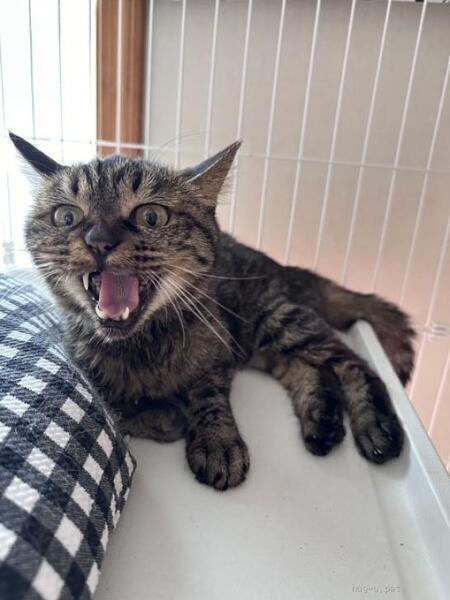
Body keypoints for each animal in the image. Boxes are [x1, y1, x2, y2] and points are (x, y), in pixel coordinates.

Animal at [10, 132, 415, 491]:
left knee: (350, 361)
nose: (99, 241)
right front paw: (162, 415)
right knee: (306, 368)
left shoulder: (219, 353)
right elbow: (113, 403)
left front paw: (217, 441)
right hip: (262, 342)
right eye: (66, 217)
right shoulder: (83, 359)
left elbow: (208, 394)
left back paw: (375, 424)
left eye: (151, 217)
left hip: (271, 319)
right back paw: (323, 419)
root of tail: (280, 267)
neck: (144, 346)